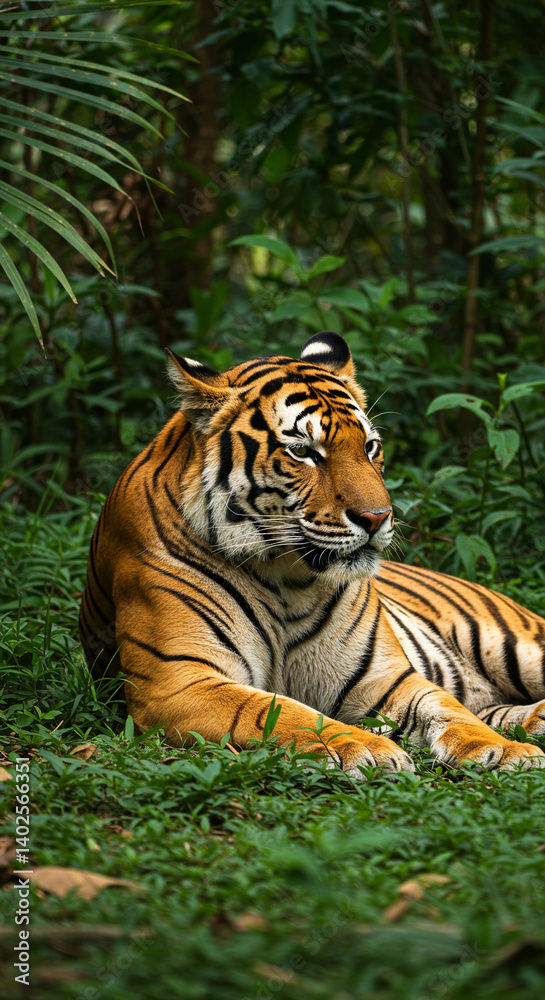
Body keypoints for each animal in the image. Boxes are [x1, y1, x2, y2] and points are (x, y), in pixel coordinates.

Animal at [79, 331, 545, 777]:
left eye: (370, 446)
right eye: (303, 452)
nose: (377, 517)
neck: (285, 579)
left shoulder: (387, 679)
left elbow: (450, 710)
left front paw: (502, 750)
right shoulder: (177, 681)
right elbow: (280, 711)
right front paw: (366, 747)